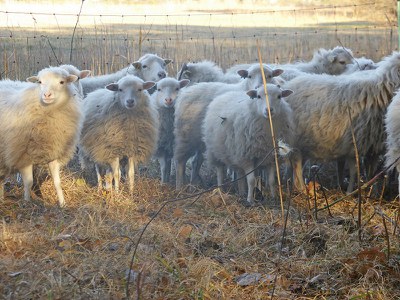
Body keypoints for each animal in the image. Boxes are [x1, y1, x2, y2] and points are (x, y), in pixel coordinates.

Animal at [0, 65, 83, 206]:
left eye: (62, 82)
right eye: (39, 82)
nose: (47, 95)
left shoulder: (53, 150)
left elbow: (57, 182)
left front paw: (62, 204)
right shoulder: (24, 154)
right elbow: (29, 182)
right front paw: (27, 203)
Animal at [282, 51, 400, 195]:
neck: (380, 92)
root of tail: (288, 86)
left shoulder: (372, 146)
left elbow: (370, 172)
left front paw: (372, 192)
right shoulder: (354, 144)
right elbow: (355, 171)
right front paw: (350, 192)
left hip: (305, 142)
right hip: (294, 139)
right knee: (297, 163)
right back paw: (302, 190)